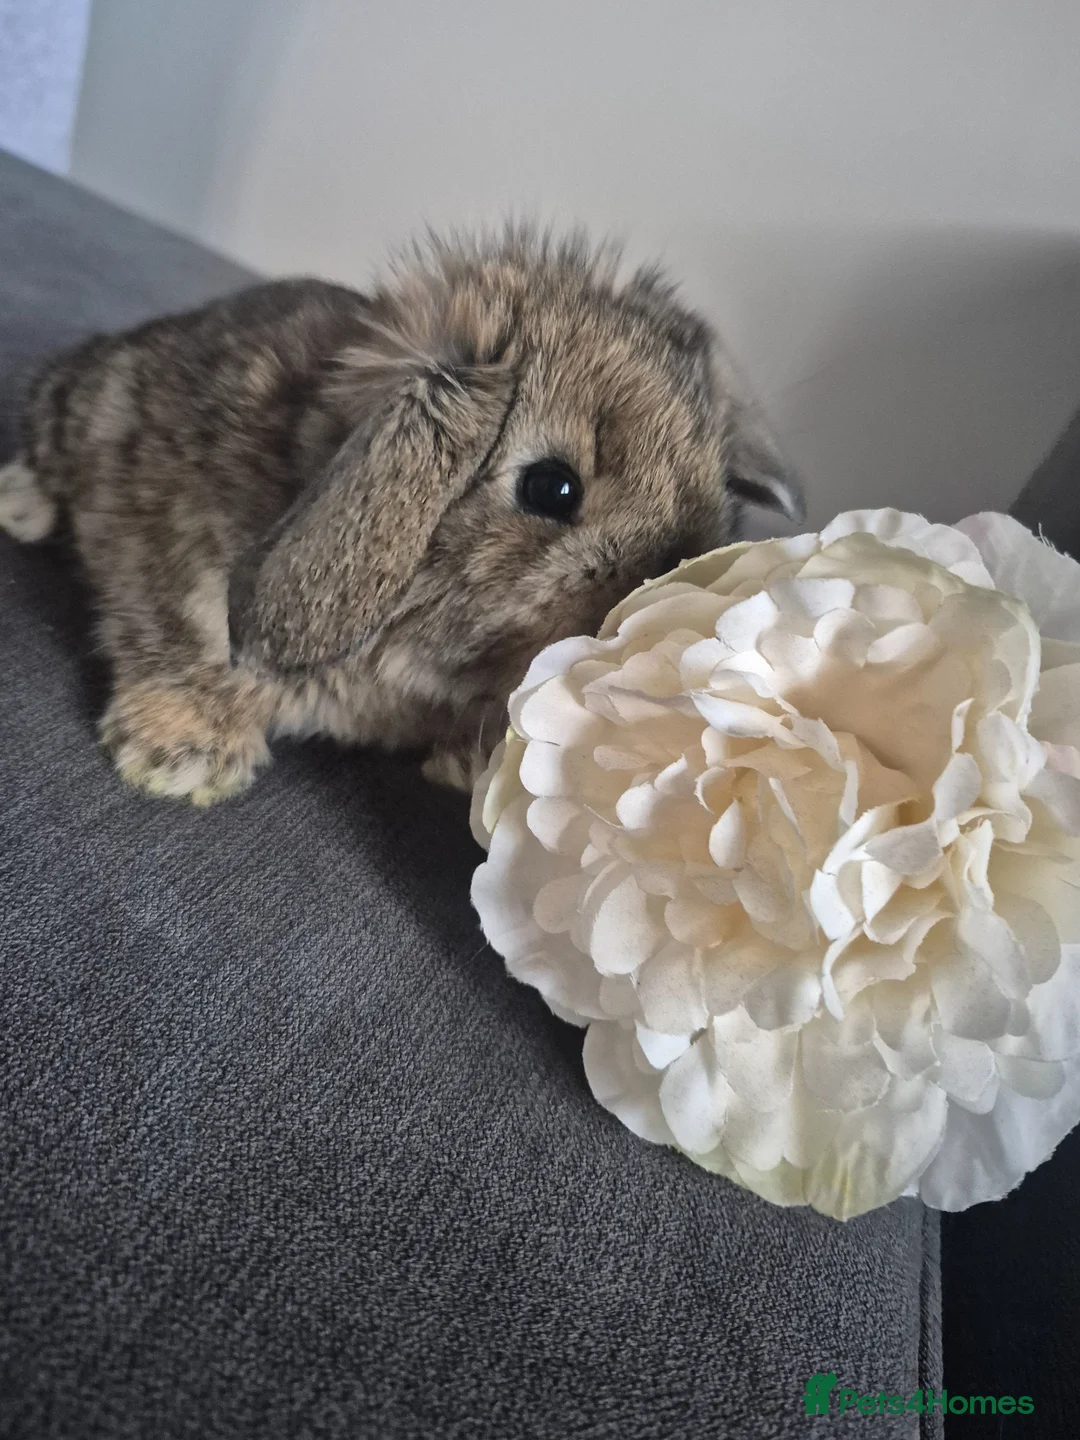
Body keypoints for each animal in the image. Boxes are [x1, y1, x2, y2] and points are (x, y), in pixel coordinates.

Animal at [0, 229, 802, 804]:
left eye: (716, 493)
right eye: (552, 488)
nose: (665, 586)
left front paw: (471, 767)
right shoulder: (179, 564)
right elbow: (182, 637)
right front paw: (185, 755)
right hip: (82, 405)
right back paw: (21, 506)